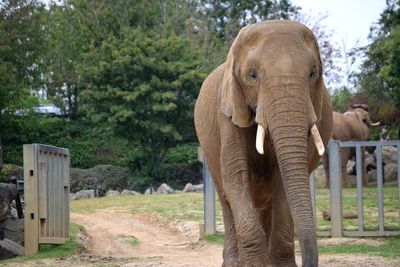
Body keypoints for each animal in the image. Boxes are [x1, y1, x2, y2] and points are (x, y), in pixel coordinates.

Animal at [194, 21, 332, 267]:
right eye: (252, 75)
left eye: (313, 73)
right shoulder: (228, 111)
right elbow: (236, 176)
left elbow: (283, 182)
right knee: (226, 198)